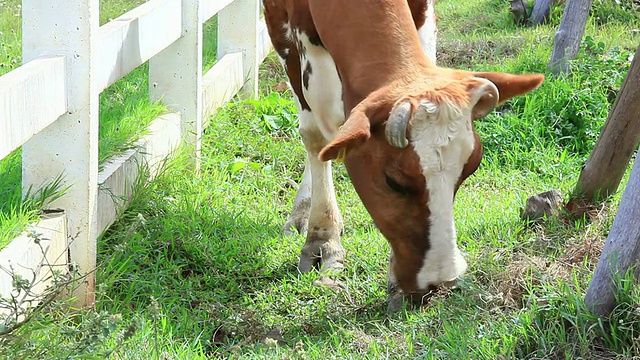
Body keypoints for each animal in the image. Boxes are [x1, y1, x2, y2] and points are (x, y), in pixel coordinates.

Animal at [262, 0, 544, 310]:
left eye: (469, 171)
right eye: (394, 182)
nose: (440, 281)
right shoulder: (282, 22)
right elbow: (315, 137)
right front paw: (322, 238)